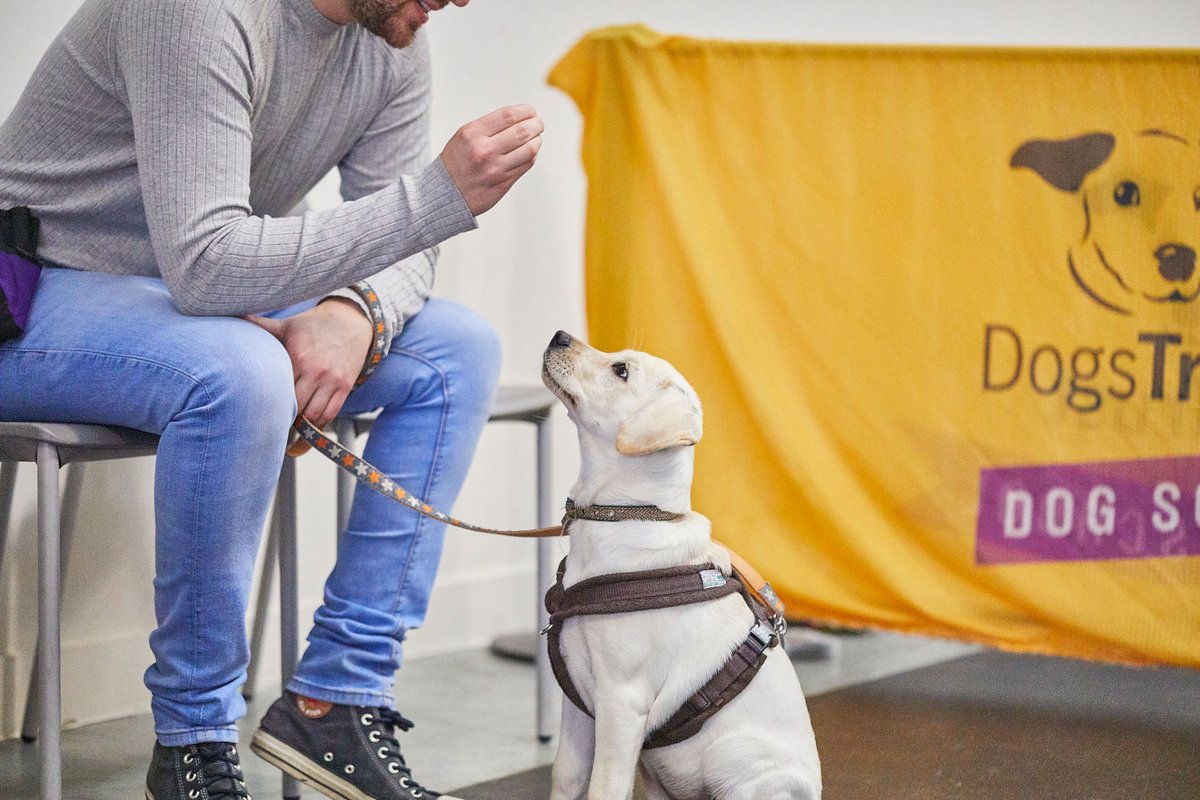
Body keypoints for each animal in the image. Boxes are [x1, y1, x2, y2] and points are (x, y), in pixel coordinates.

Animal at [544, 331, 825, 800]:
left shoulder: (622, 702)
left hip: (736, 759)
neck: (628, 516)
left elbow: (604, 787)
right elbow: (567, 777)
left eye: (621, 370)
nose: (559, 336)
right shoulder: (577, 702)